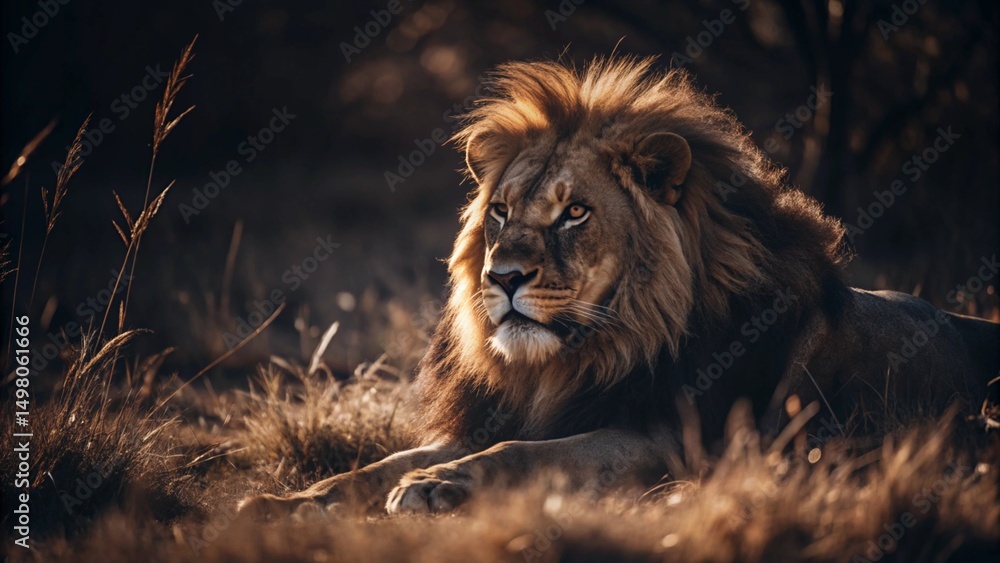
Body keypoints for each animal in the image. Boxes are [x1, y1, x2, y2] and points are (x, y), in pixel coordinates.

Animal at [239, 56, 999, 519]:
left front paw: (437, 486)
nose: (501, 277)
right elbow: (380, 463)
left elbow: (528, 457)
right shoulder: (510, 413)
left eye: (575, 213)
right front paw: (291, 502)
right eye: (500, 212)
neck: (573, 361)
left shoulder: (674, 442)